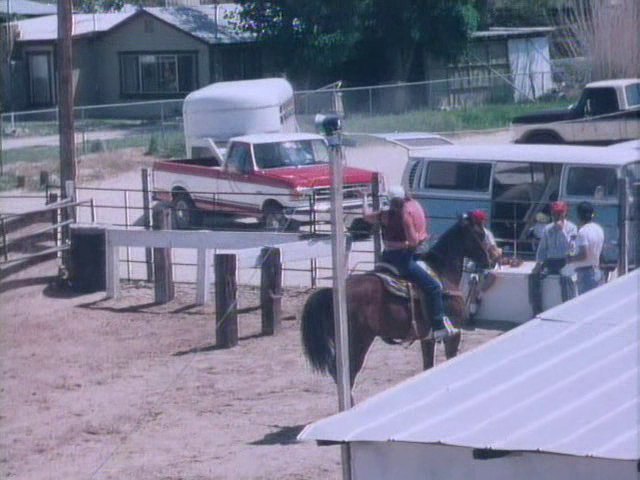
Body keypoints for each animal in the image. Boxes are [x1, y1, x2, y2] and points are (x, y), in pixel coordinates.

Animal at [300, 216, 490, 388]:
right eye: (480, 234)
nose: (491, 259)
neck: (443, 272)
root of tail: (334, 292)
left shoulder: (427, 339)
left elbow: (428, 367)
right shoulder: (454, 334)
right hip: (359, 340)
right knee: (348, 374)